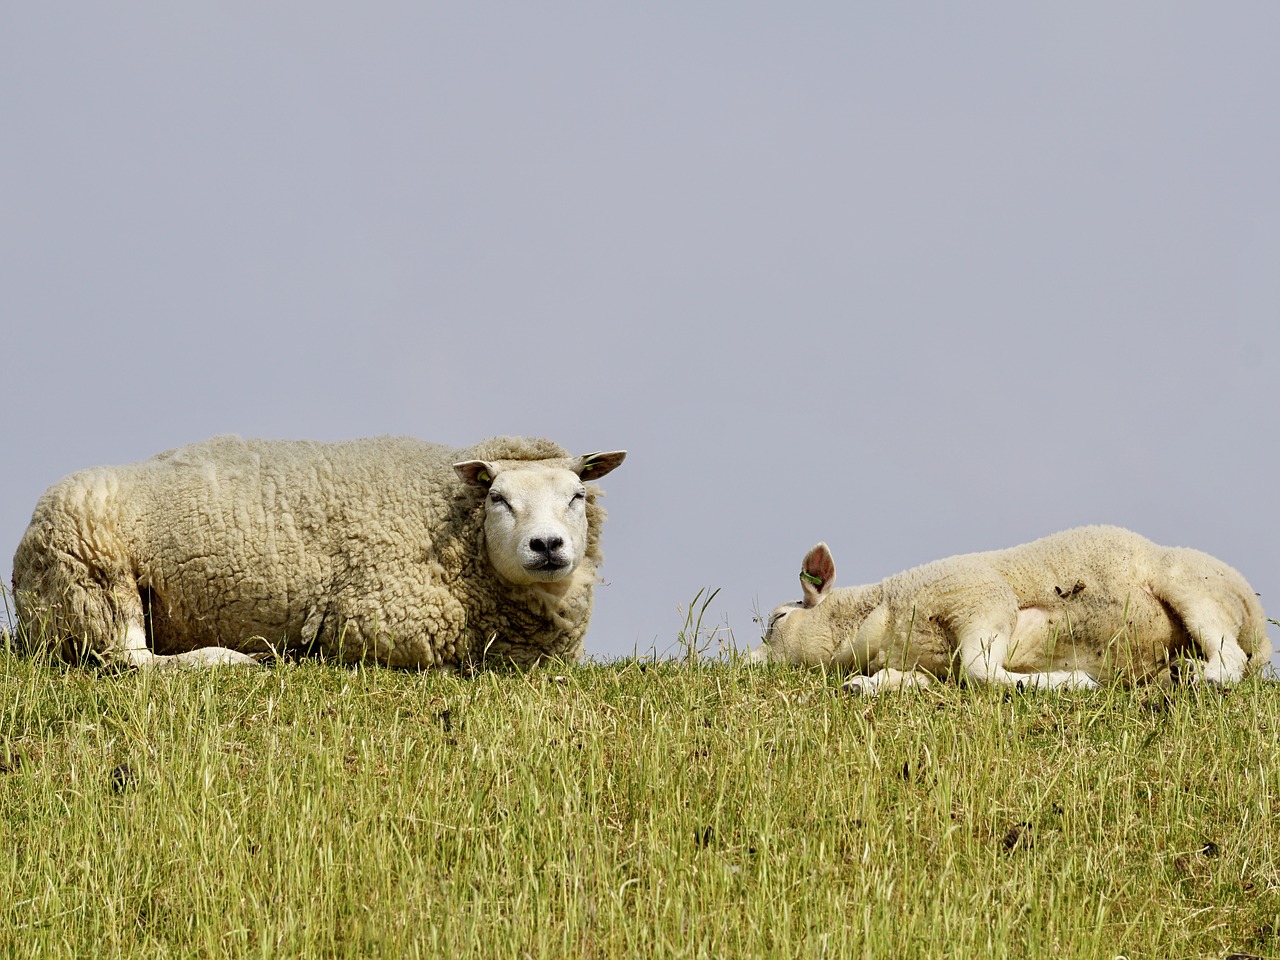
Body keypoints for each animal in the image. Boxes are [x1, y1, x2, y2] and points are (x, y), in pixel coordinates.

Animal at [12, 435, 627, 670]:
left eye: (576, 495)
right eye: (499, 498)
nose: (547, 545)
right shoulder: (378, 622)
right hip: (95, 578)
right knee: (128, 659)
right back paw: (232, 661)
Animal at [747, 522, 1269, 696]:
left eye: (778, 619)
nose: (747, 662)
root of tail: (1262, 633)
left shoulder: (980, 595)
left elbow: (982, 671)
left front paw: (1071, 682)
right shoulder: (931, 667)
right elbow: (909, 681)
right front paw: (863, 686)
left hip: (1192, 587)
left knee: (1230, 659)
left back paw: (1199, 678)